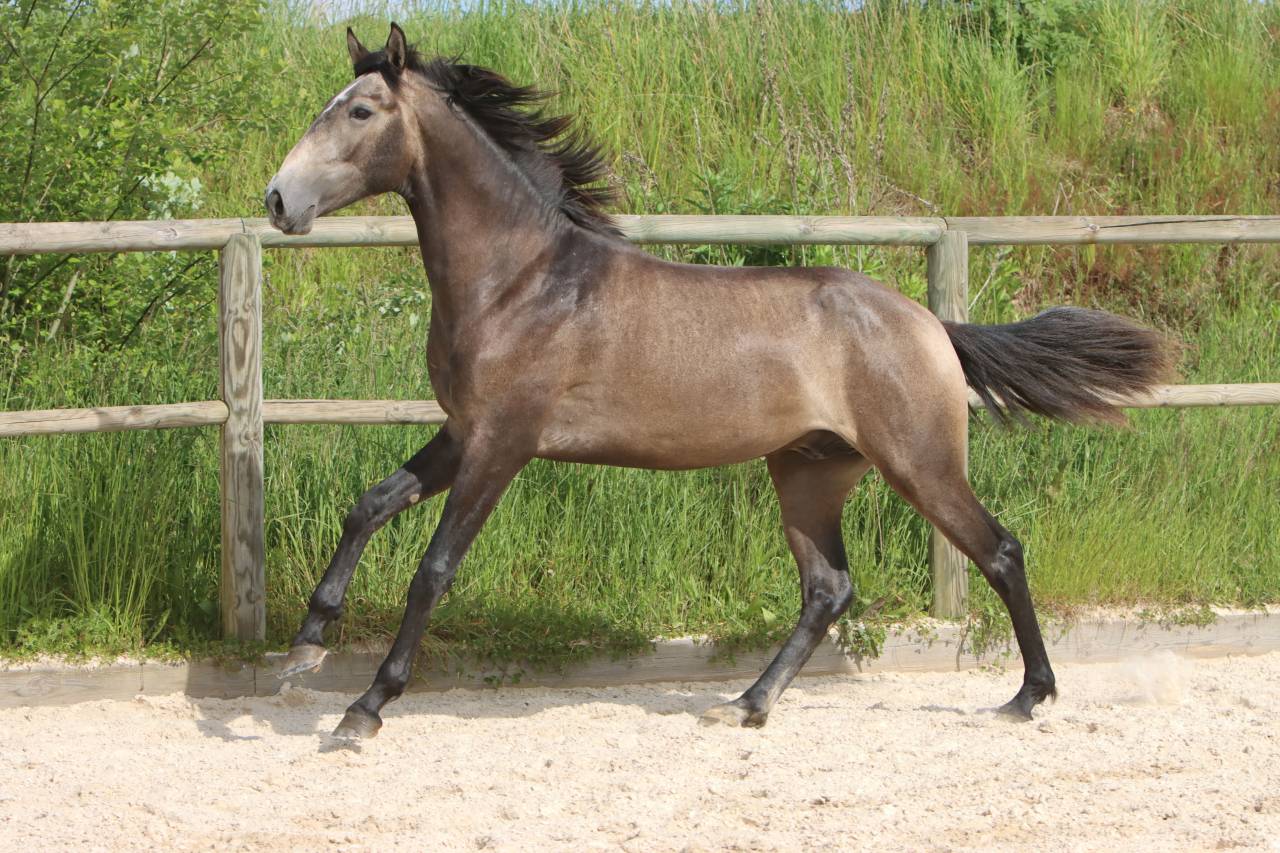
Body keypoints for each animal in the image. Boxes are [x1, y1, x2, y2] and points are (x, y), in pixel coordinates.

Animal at [265, 24, 1175, 739]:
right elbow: (370, 504)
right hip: (809, 471)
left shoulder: (504, 443)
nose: (278, 199)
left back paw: (1028, 695)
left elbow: (433, 568)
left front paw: (365, 707)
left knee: (1000, 551)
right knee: (828, 588)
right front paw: (305, 648)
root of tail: (928, 324)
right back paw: (746, 702)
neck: (522, 281)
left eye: (359, 110)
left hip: (919, 463)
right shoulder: (463, 430)